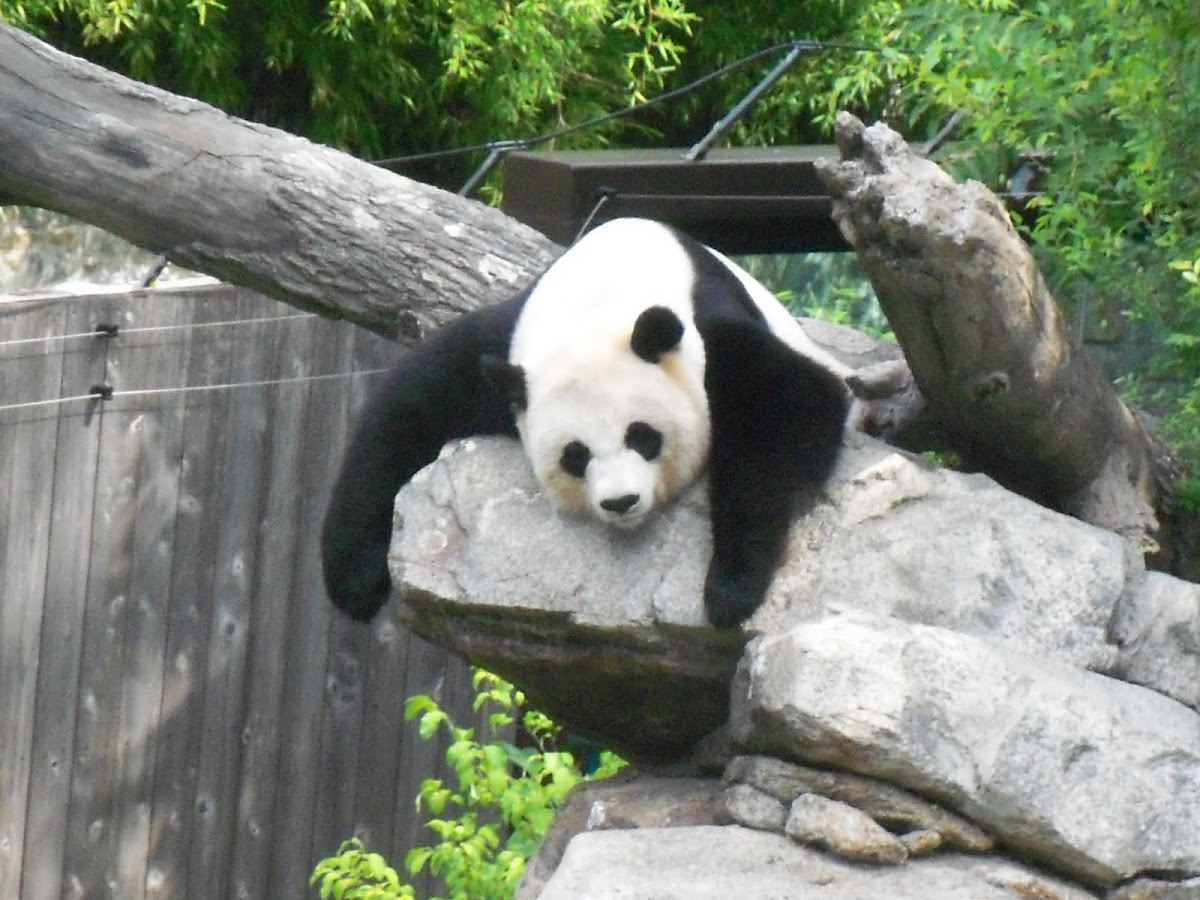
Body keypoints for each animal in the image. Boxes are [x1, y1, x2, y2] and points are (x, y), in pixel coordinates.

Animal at [321, 217, 853, 629]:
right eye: (575, 455)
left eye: (643, 436)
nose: (621, 502)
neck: (602, 292)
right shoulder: (504, 350)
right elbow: (403, 410)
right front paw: (355, 582)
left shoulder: (705, 328)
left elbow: (788, 404)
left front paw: (731, 587)